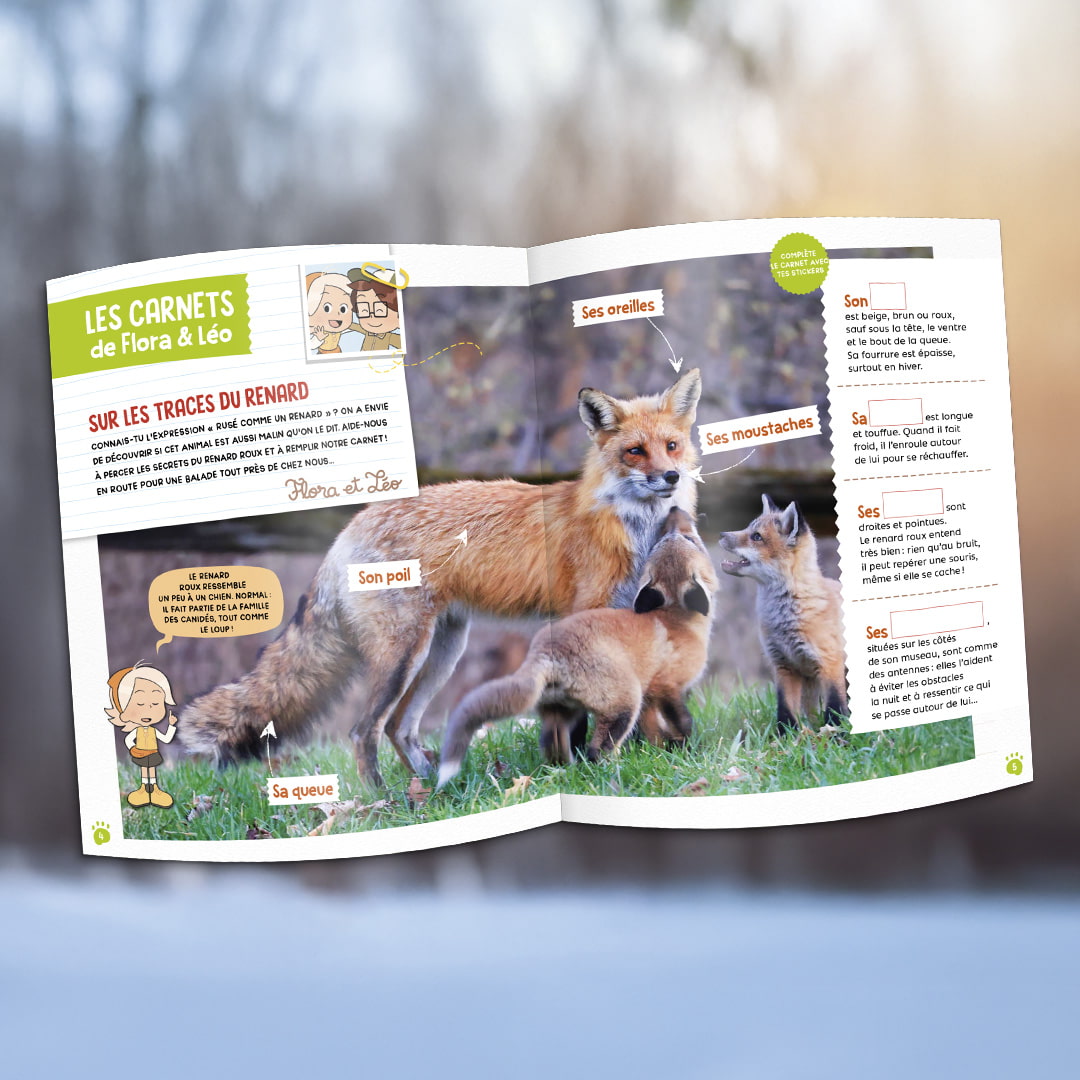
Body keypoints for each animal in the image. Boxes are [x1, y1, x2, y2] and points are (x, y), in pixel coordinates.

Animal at [437, 508, 717, 787]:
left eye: (677, 537)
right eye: (690, 539)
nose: (675, 511)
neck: (675, 619)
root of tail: (546, 651)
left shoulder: (649, 698)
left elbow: (654, 731)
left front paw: (663, 751)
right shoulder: (666, 686)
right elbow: (683, 722)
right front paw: (686, 748)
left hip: (563, 710)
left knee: (551, 744)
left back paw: (564, 772)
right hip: (624, 704)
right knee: (597, 750)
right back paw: (613, 773)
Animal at [719, 494, 848, 733]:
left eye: (757, 536)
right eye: (748, 527)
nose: (721, 535)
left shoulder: (829, 663)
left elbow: (835, 707)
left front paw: (836, 734)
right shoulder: (784, 665)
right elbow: (785, 709)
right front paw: (786, 736)